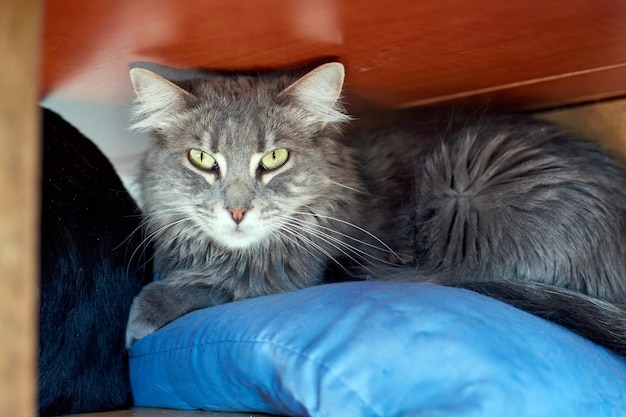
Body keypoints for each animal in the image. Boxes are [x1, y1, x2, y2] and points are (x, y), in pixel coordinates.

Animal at [124, 62, 624, 354]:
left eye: (274, 158)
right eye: (202, 159)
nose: (237, 211)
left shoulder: (285, 277)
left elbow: (177, 292)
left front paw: (135, 328)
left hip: (465, 192)